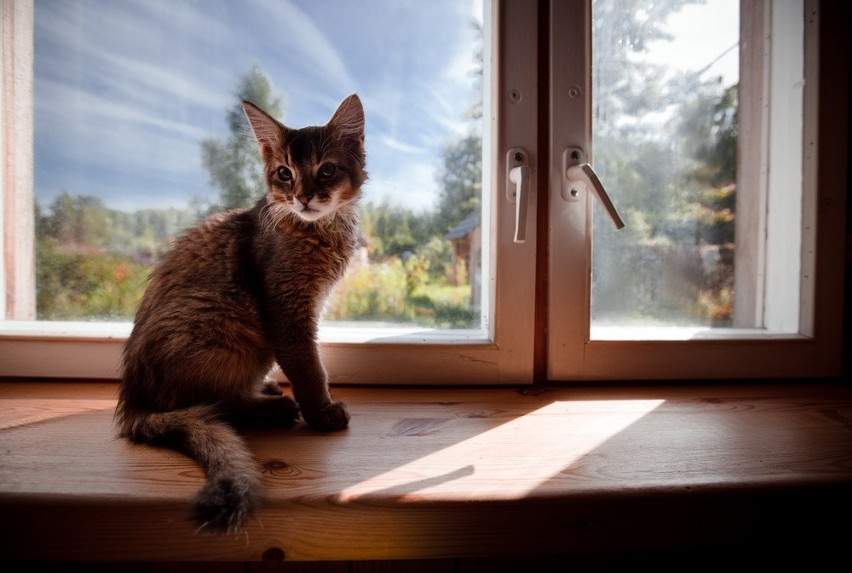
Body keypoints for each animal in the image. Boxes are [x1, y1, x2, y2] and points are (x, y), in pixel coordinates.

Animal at [114, 92, 366, 532]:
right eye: (284, 173)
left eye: (327, 170)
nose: (303, 196)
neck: (317, 230)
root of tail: (133, 405)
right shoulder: (288, 314)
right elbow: (308, 367)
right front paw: (321, 412)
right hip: (223, 324)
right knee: (215, 406)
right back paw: (274, 408)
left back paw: (265, 391)